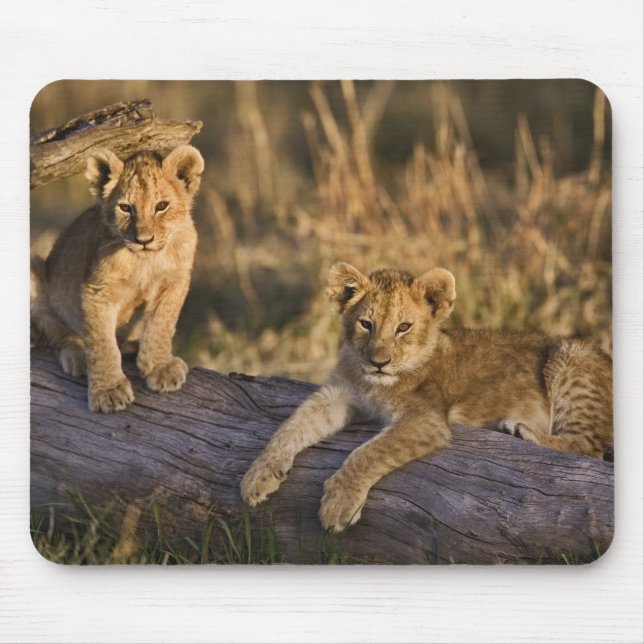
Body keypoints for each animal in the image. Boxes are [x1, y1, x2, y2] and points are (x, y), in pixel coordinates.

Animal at [30, 145, 204, 413]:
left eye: (161, 206)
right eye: (125, 208)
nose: (143, 240)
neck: (146, 261)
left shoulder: (175, 280)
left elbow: (161, 324)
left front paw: (160, 367)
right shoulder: (96, 291)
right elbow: (102, 342)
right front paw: (108, 392)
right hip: (35, 269)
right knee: (56, 331)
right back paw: (79, 358)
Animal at [241, 262, 613, 532]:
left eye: (403, 327)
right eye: (366, 324)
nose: (378, 362)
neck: (373, 383)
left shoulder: (426, 420)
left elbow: (369, 453)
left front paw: (338, 505)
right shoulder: (336, 395)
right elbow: (291, 426)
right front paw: (257, 476)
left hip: (572, 355)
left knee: (589, 446)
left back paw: (521, 431)